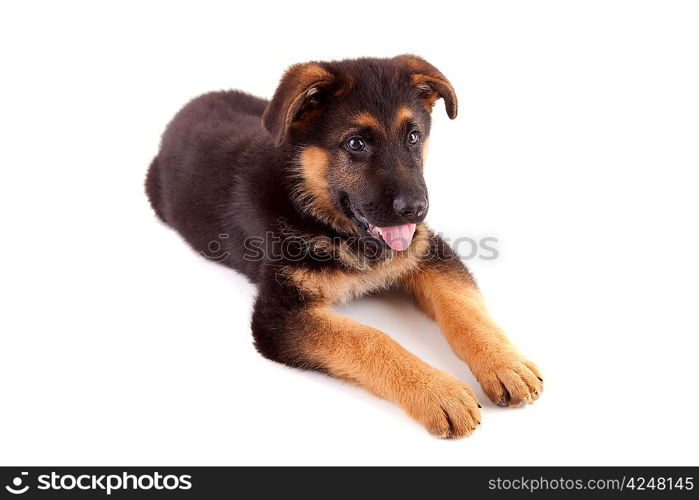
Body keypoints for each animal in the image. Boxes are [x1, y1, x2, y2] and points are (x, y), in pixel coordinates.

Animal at [146, 55, 540, 438]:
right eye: (355, 144)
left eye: (413, 137)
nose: (416, 209)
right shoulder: (280, 314)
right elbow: (370, 338)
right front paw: (437, 391)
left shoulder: (428, 251)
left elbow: (464, 308)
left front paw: (505, 363)